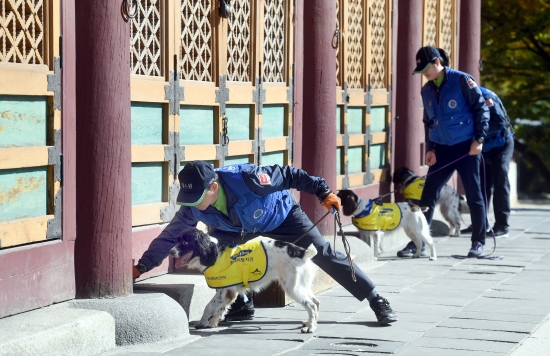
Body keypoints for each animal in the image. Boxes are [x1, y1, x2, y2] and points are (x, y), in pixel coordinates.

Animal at [170, 228, 322, 334]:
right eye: (177, 240)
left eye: (185, 241)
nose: (171, 252)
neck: (215, 253)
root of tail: (301, 252)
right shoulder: (228, 291)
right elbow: (220, 308)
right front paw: (213, 322)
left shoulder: (225, 291)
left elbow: (209, 306)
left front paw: (202, 323)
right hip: (301, 286)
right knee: (316, 302)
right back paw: (310, 324)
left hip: (292, 287)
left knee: (311, 305)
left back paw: (310, 328)